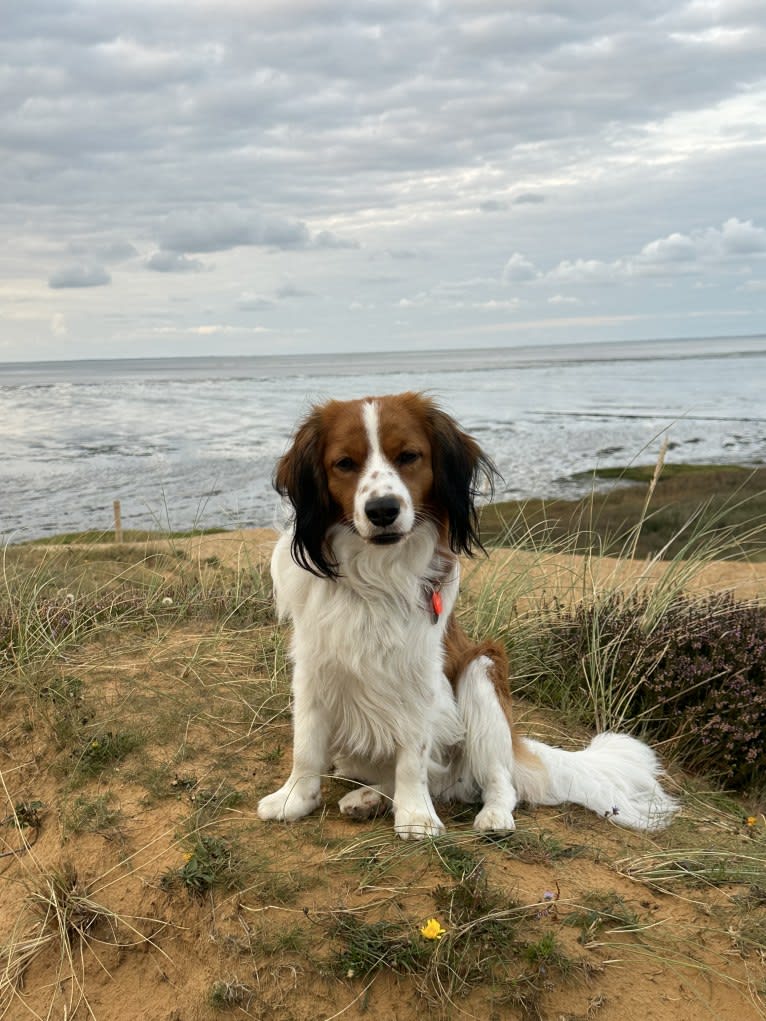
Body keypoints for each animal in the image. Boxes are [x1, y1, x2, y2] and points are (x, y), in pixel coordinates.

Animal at [258, 390, 678, 837]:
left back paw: (492, 815)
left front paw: (416, 816)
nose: (383, 510)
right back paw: (369, 798)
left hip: (482, 673)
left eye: (408, 456)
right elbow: (306, 745)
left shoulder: (420, 672)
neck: (375, 572)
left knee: (495, 780)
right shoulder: (314, 665)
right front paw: (295, 798)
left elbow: (413, 754)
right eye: (344, 464)